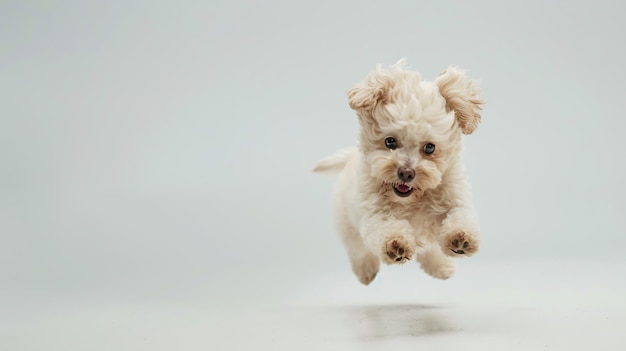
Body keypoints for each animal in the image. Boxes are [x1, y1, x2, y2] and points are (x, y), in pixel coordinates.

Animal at [312, 59, 482, 286]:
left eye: (430, 147)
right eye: (390, 141)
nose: (407, 173)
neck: (412, 200)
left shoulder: (454, 197)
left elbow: (459, 216)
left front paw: (460, 239)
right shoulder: (375, 214)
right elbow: (386, 229)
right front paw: (396, 246)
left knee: (430, 249)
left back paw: (441, 267)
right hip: (347, 223)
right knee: (358, 248)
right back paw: (365, 272)